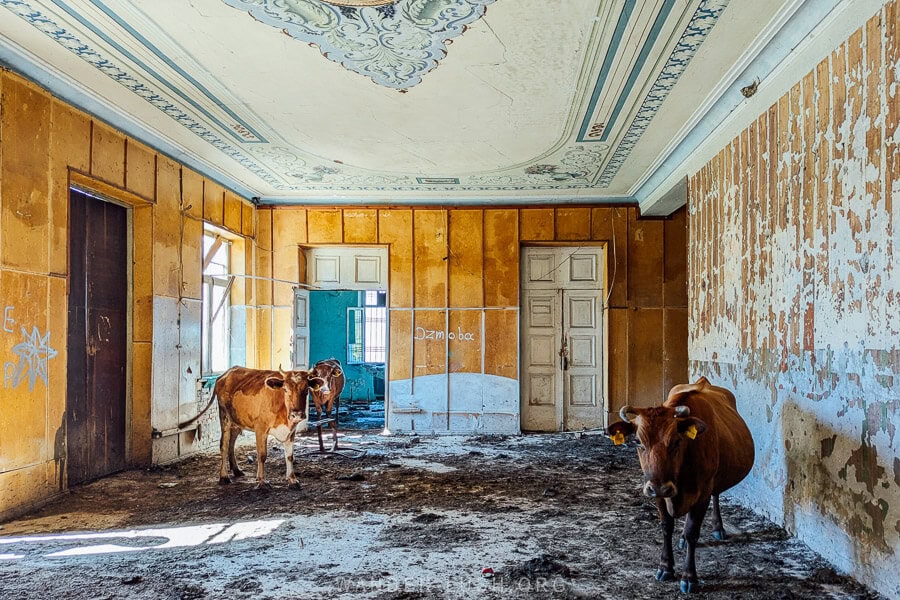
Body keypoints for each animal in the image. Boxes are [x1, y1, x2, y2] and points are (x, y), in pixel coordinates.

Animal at [178, 366, 328, 488]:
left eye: (306, 390)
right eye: (285, 389)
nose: (297, 413)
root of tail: (226, 373)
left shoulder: (291, 431)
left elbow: (290, 456)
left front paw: (292, 480)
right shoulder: (261, 428)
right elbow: (262, 455)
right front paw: (261, 481)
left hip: (237, 421)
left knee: (231, 443)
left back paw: (236, 470)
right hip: (225, 417)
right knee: (224, 445)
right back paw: (224, 476)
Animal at [604, 378, 752, 592]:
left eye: (676, 441)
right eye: (638, 442)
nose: (660, 487)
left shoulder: (702, 492)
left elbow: (693, 532)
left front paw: (689, 577)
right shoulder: (656, 491)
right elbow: (666, 526)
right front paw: (665, 566)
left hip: (715, 480)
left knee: (716, 495)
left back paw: (718, 527)